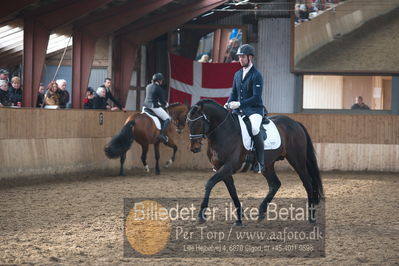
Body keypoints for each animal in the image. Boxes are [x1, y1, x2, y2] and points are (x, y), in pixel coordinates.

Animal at [188, 99, 324, 224]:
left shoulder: (229, 166)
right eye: (188, 124)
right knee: (275, 184)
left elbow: (209, 183)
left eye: (198, 123)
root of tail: (295, 123)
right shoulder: (221, 168)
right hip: (267, 165)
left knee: (307, 183)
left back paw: (311, 217)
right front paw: (239, 217)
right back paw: (261, 211)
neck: (224, 131)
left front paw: (201, 215)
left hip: (297, 160)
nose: (194, 149)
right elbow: (232, 190)